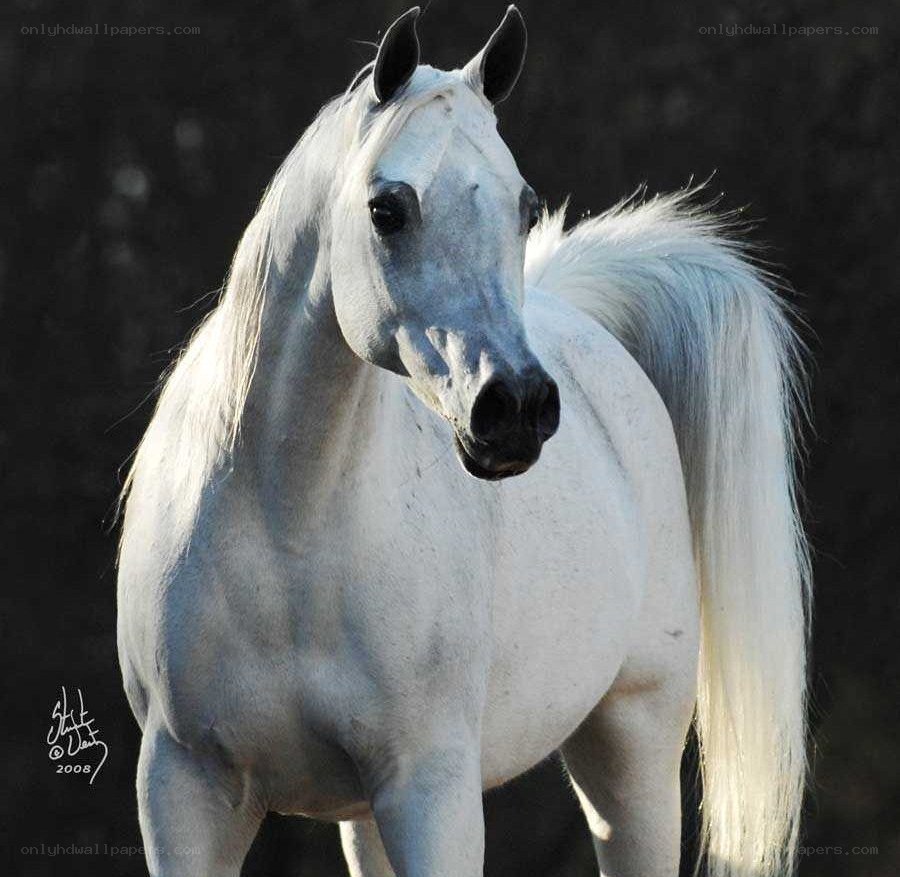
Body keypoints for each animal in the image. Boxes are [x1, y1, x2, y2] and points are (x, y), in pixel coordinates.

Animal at [117, 7, 810, 877]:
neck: (285, 530)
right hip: (366, 814)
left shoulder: (431, 789)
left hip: (631, 751)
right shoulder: (185, 793)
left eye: (524, 205)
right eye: (387, 209)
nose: (514, 405)